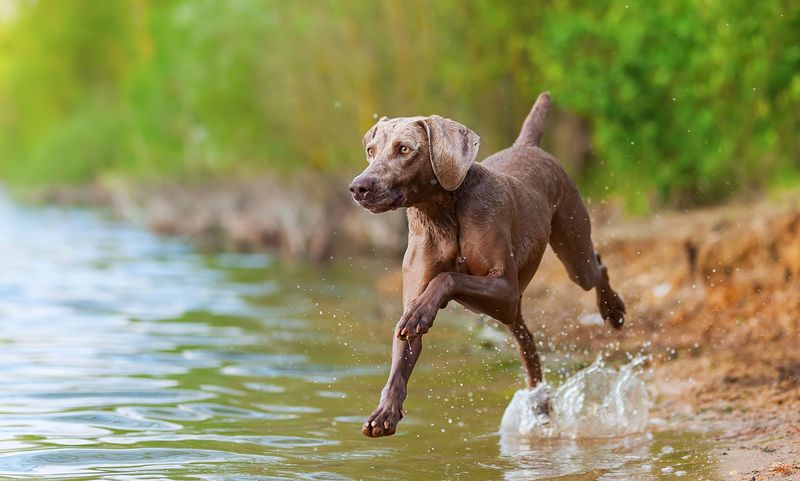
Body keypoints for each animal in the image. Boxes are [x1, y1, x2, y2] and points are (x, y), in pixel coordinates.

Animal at [348, 91, 624, 438]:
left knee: (597, 267)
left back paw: (613, 310)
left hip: (572, 254)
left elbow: (446, 279)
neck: (442, 214)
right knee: (528, 345)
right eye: (370, 151)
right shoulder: (470, 294)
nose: (358, 187)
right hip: (514, 313)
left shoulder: (504, 289)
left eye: (404, 149)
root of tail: (527, 145)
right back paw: (540, 406)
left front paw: (423, 311)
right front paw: (385, 412)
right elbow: (403, 346)